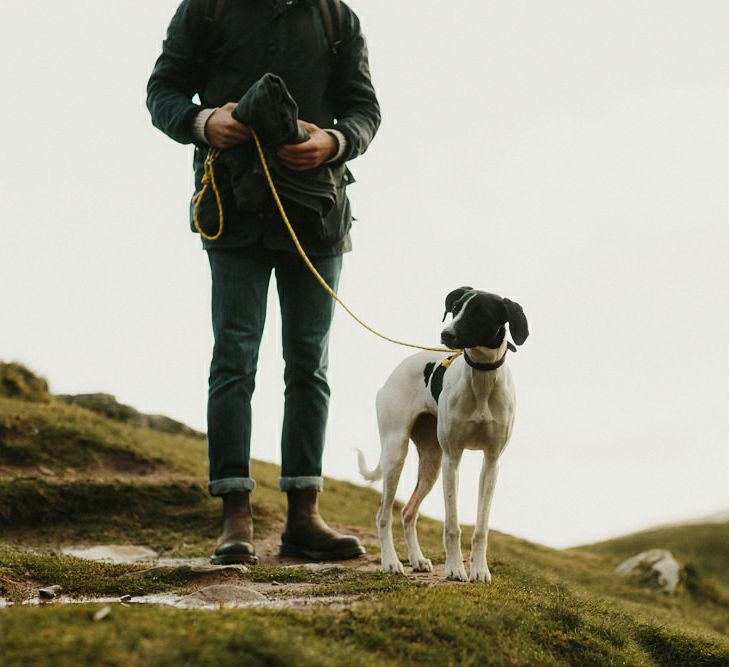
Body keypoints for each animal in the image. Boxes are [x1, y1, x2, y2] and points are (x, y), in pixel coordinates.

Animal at [358, 290, 528, 580]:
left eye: (480, 313)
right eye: (456, 308)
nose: (446, 334)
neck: (482, 379)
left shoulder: (491, 462)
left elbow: (481, 528)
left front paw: (479, 571)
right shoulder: (453, 458)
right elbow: (452, 525)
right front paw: (455, 569)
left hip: (431, 462)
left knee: (407, 511)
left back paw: (417, 559)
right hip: (396, 452)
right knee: (383, 514)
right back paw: (391, 562)